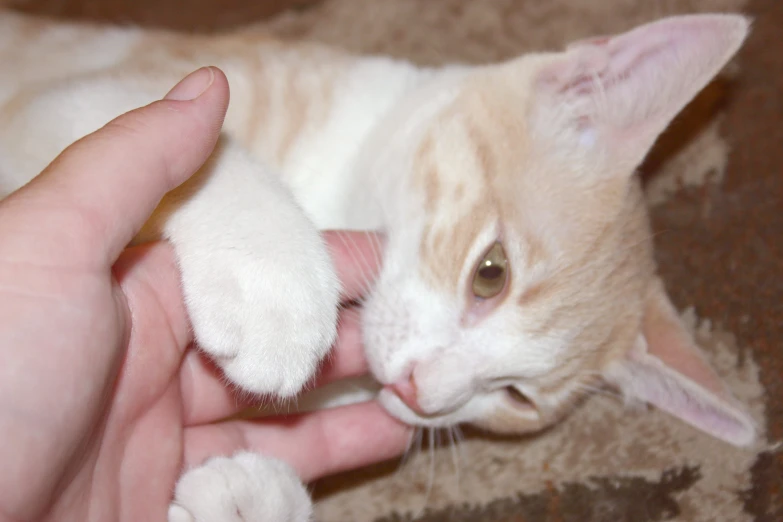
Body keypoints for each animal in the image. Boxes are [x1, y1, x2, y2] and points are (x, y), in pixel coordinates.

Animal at [0, 11, 760, 520]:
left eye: (518, 396)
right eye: (490, 272)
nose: (423, 392)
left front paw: (251, 497)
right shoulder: (65, 105)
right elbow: (197, 145)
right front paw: (271, 277)